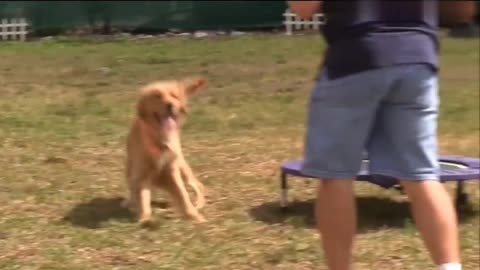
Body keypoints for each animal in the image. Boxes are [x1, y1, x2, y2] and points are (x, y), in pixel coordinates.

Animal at [124, 76, 207, 224]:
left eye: (174, 96)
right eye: (157, 96)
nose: (170, 105)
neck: (159, 138)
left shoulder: (172, 171)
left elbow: (183, 195)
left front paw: (195, 216)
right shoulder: (141, 175)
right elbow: (142, 199)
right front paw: (144, 219)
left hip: (182, 167)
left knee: (197, 185)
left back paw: (198, 203)